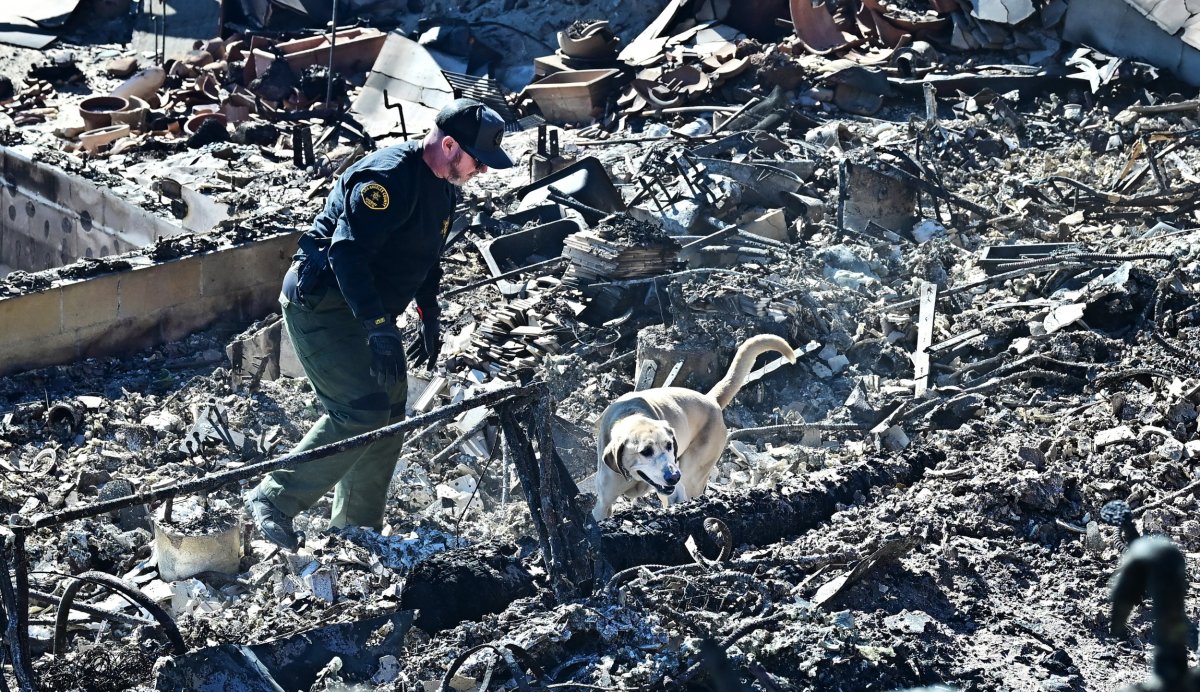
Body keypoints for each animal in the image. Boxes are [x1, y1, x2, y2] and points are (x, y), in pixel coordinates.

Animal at [592, 335, 796, 518]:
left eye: (669, 445)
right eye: (645, 451)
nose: (674, 476)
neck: (630, 415)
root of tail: (710, 399)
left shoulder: (673, 490)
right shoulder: (603, 505)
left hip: (692, 475)